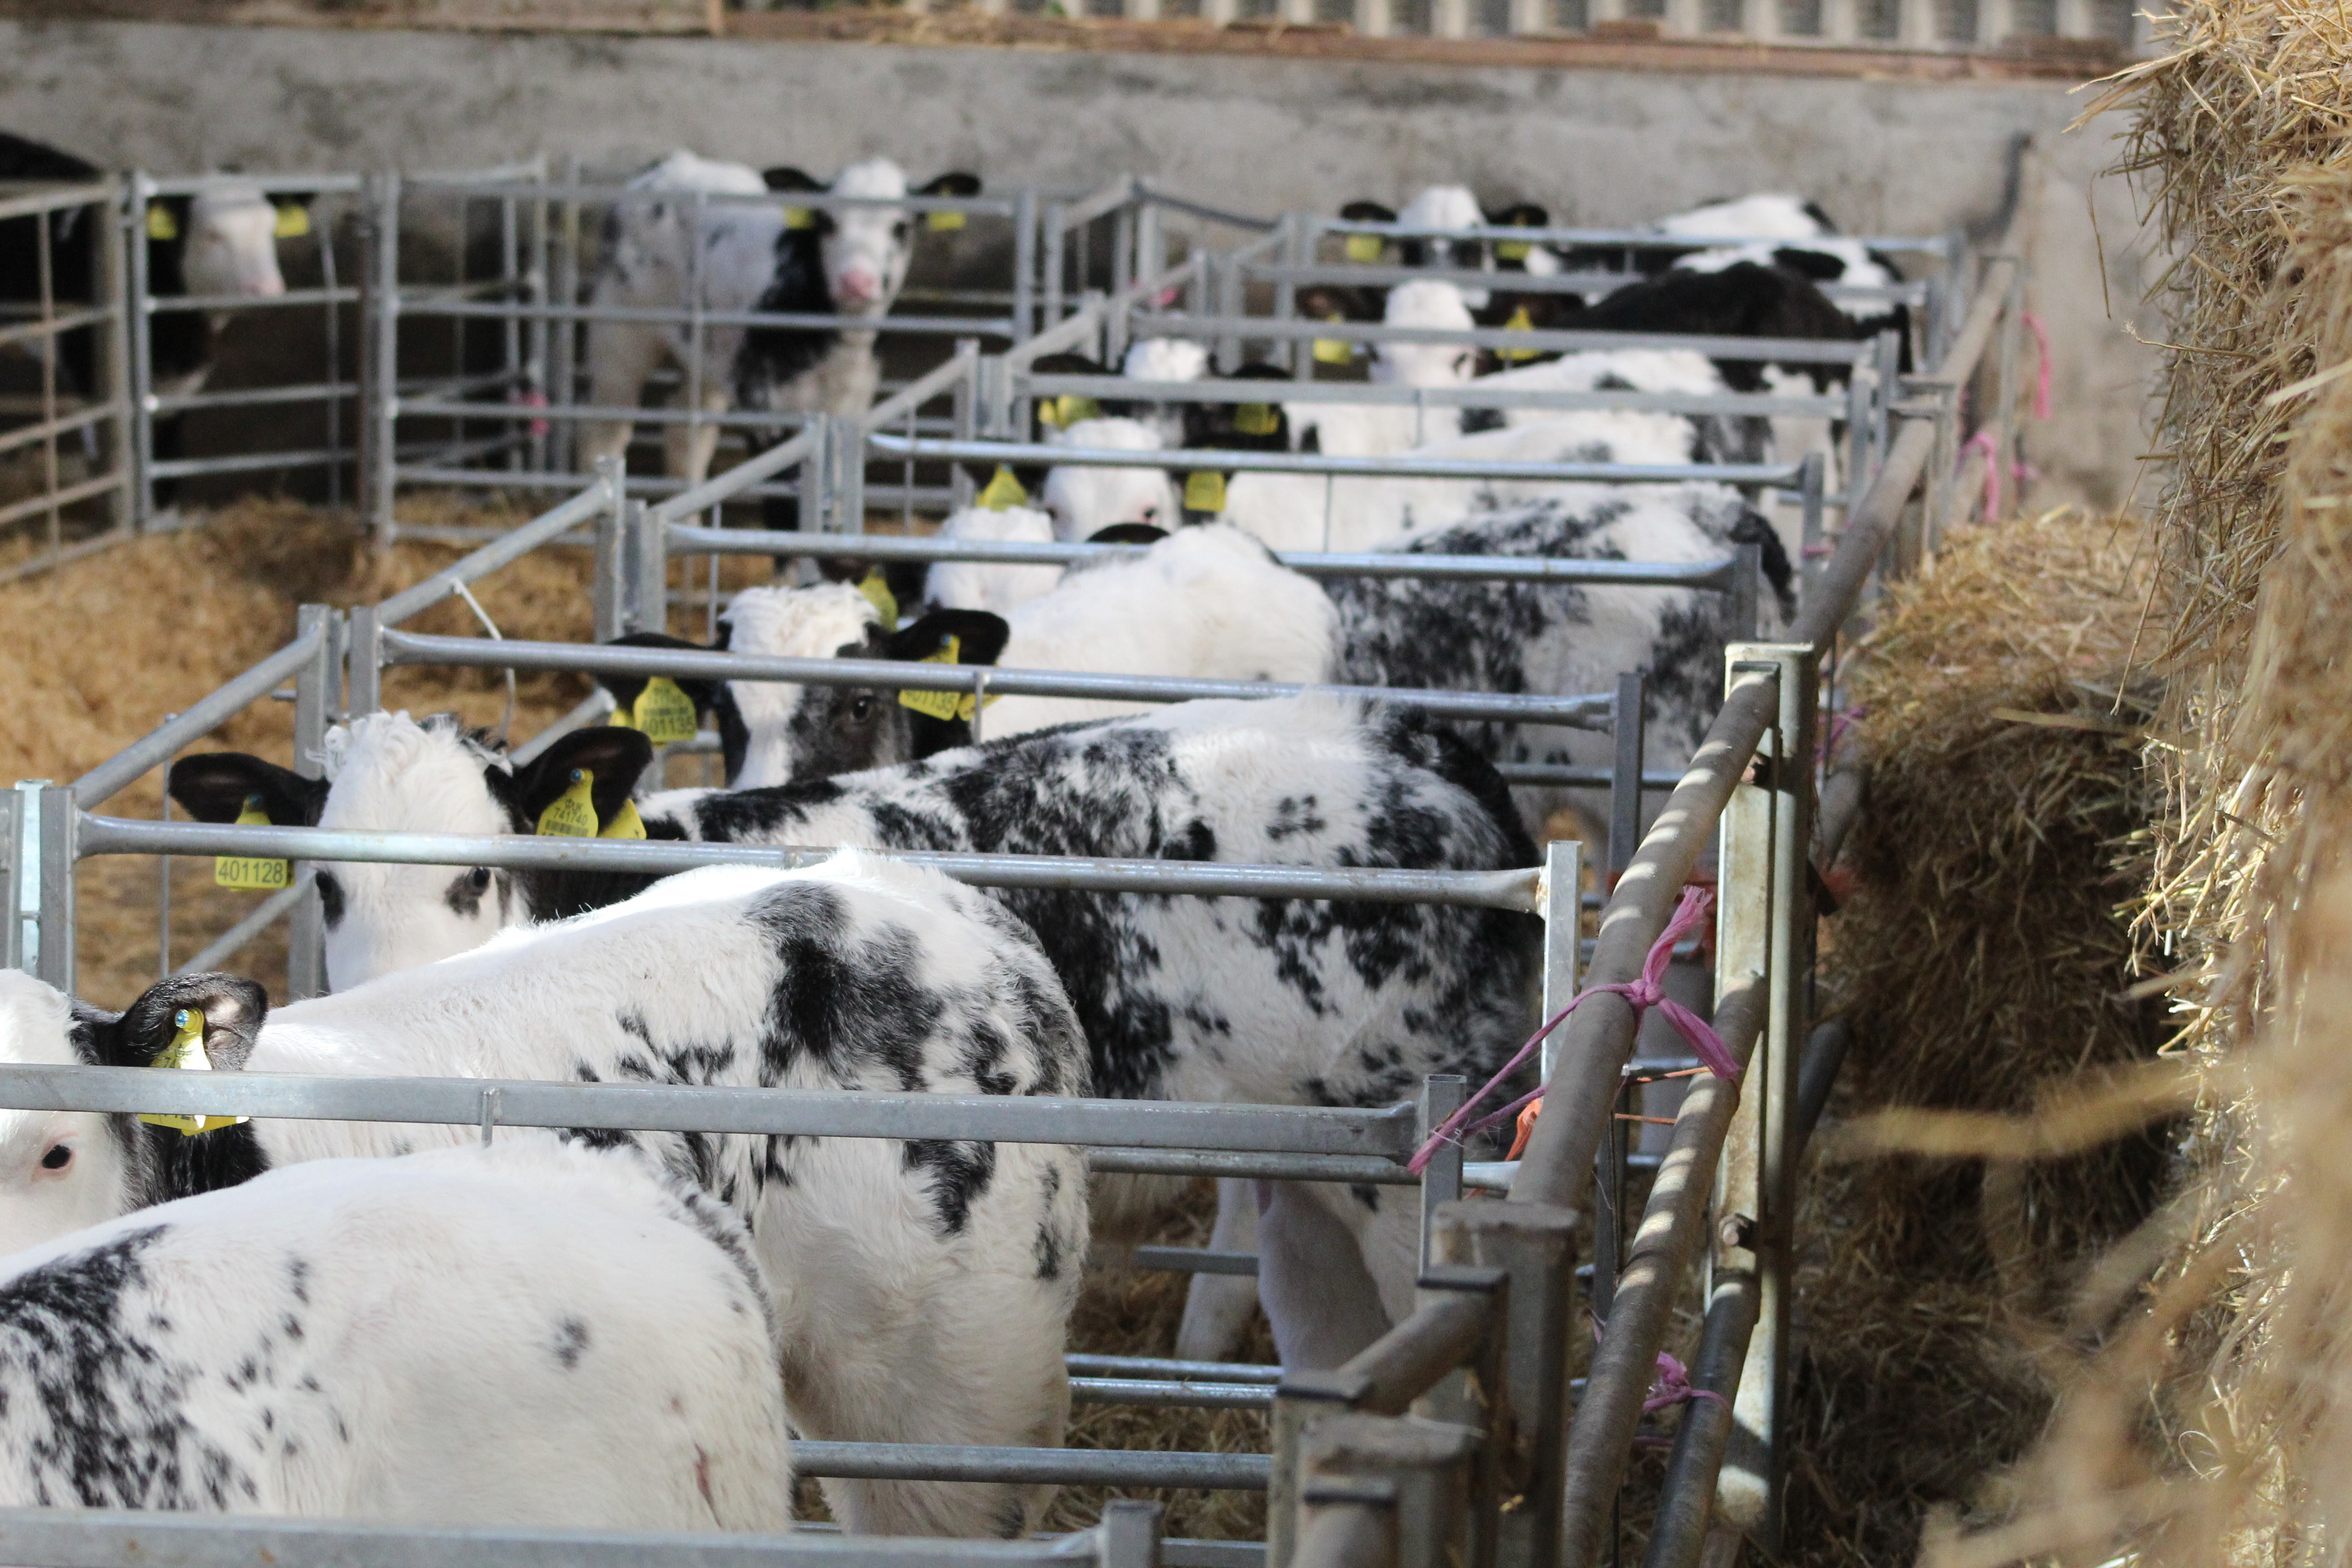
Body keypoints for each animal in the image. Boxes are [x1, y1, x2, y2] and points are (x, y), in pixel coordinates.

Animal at [583, 152, 978, 491]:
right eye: (827, 222)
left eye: (902, 227)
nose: (856, 281)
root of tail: (669, 163)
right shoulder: (765, 406)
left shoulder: (851, 406)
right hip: (619, 330)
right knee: (606, 430)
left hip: (710, 355)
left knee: (688, 433)